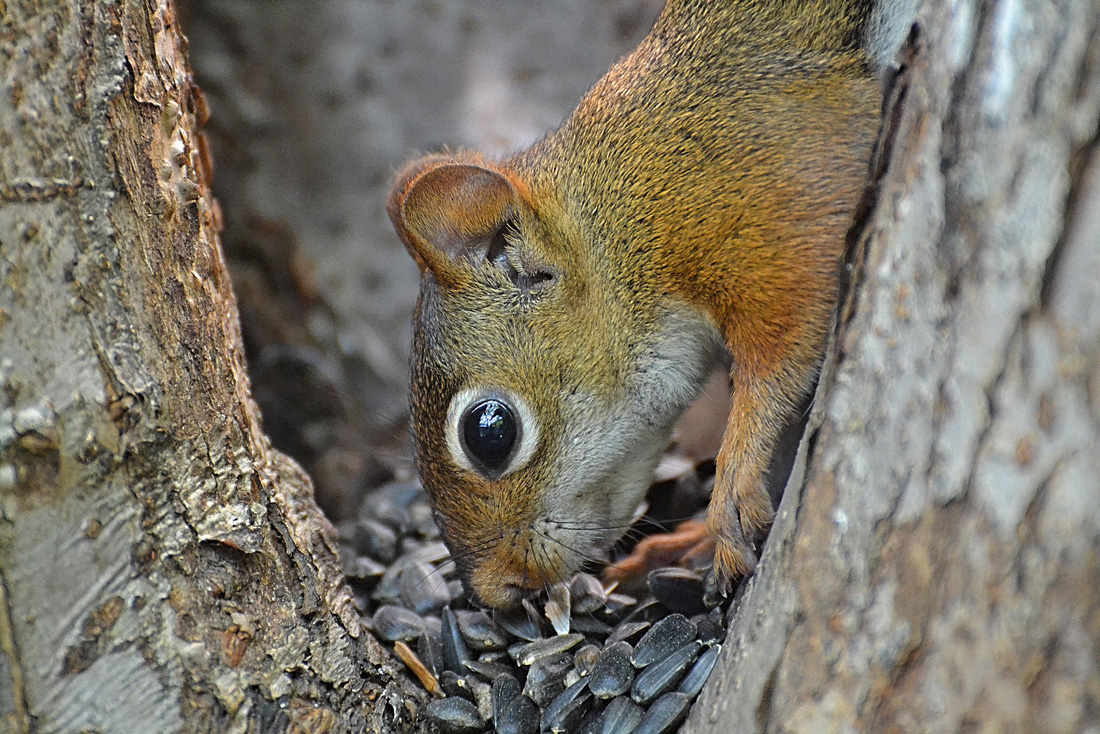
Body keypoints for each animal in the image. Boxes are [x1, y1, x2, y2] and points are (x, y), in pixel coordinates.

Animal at [385, 0, 910, 607]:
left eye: (490, 434)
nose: (496, 592)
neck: (623, 216)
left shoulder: (777, 215)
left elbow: (779, 363)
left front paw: (729, 494)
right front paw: (691, 541)